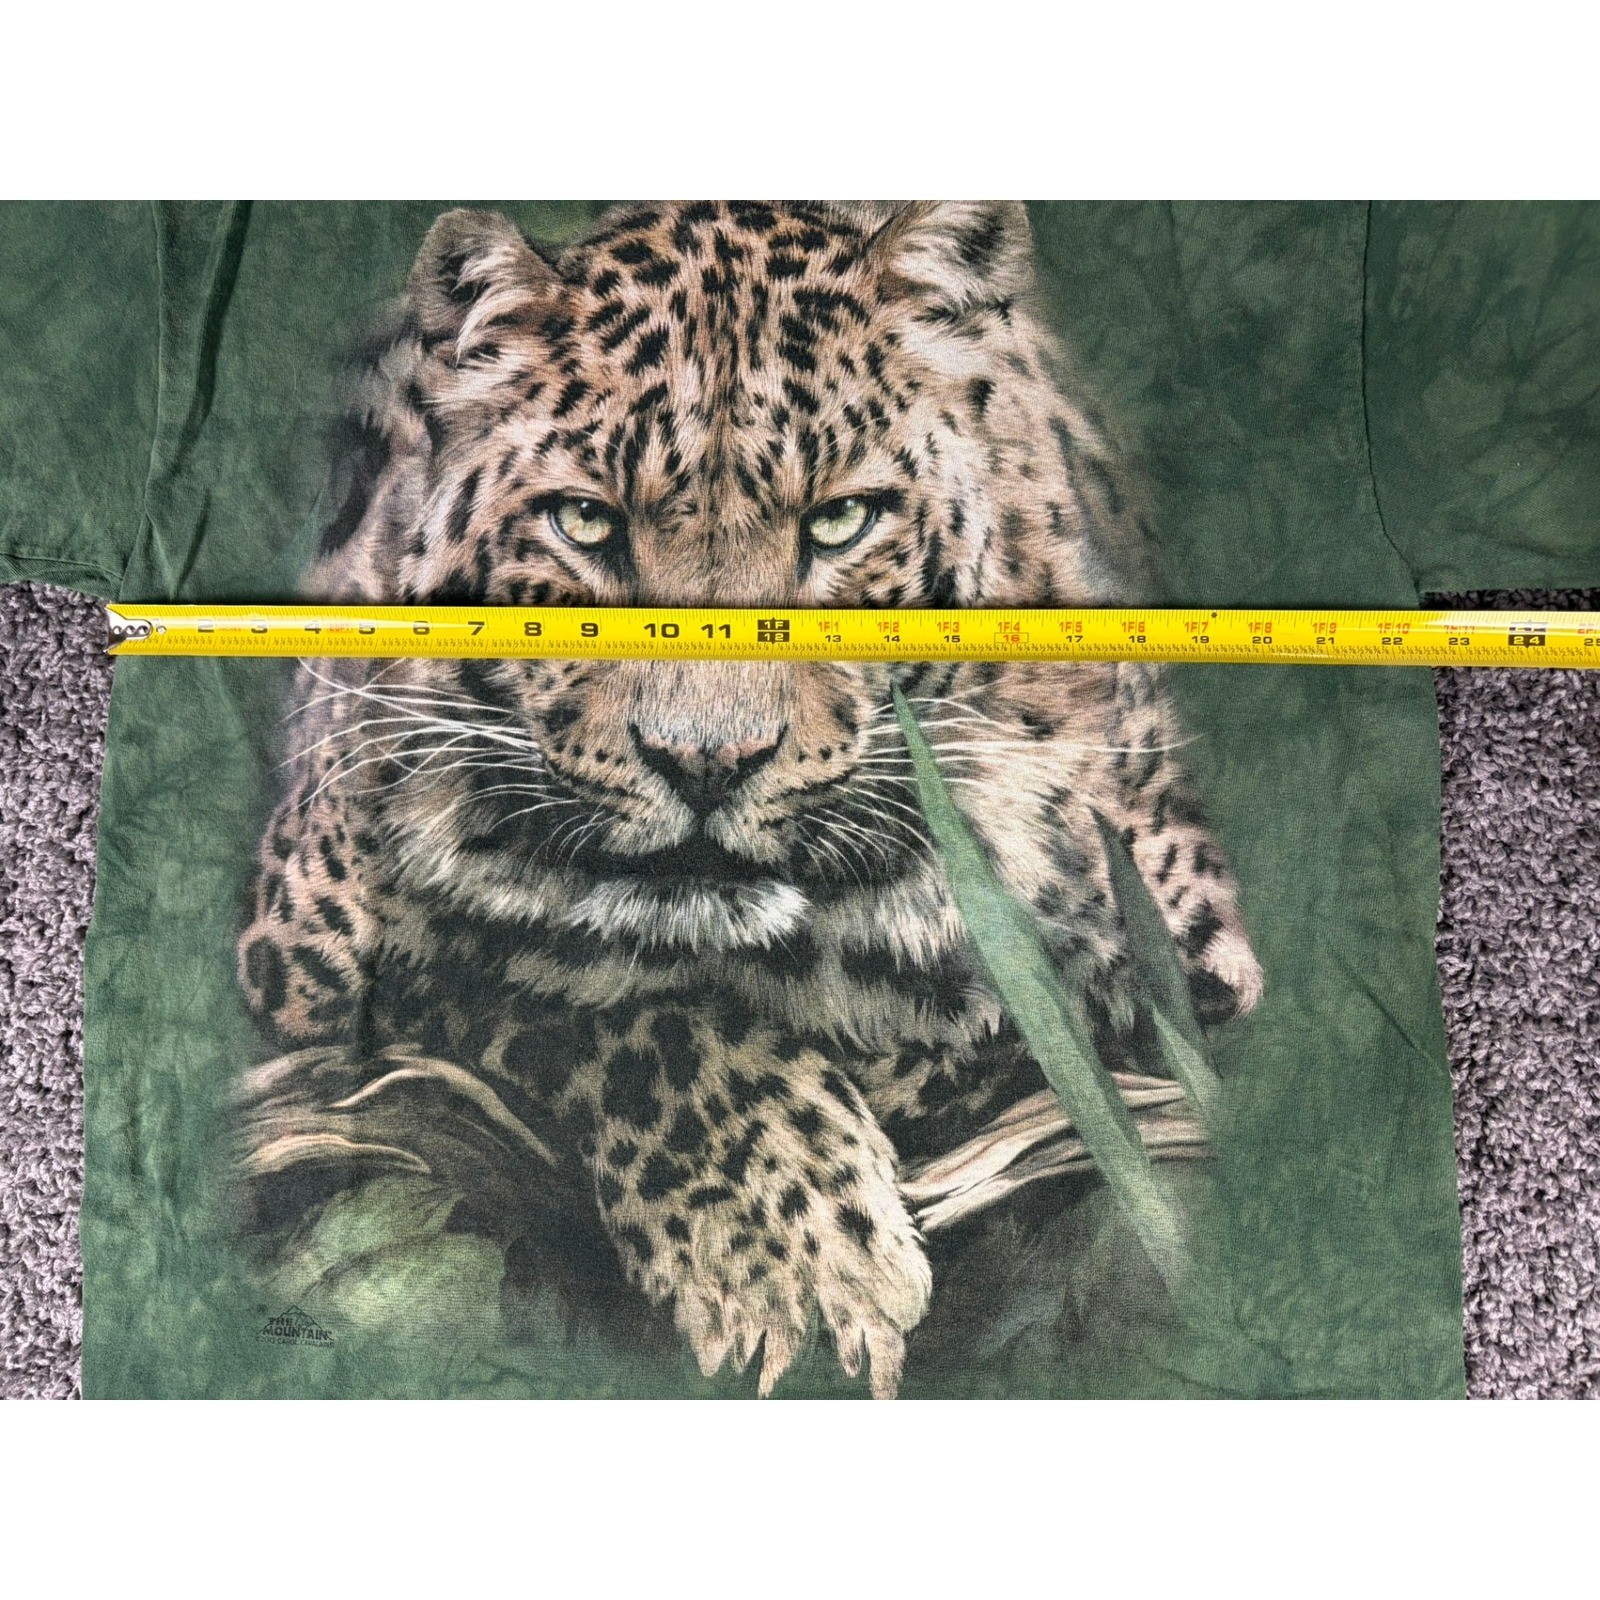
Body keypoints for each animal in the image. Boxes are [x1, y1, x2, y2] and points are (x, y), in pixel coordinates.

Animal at [235, 201, 1263, 1399]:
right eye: (586, 523)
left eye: (841, 523)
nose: (706, 763)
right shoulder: (307, 957)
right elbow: (594, 998)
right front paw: (792, 1259)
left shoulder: (1185, 949)